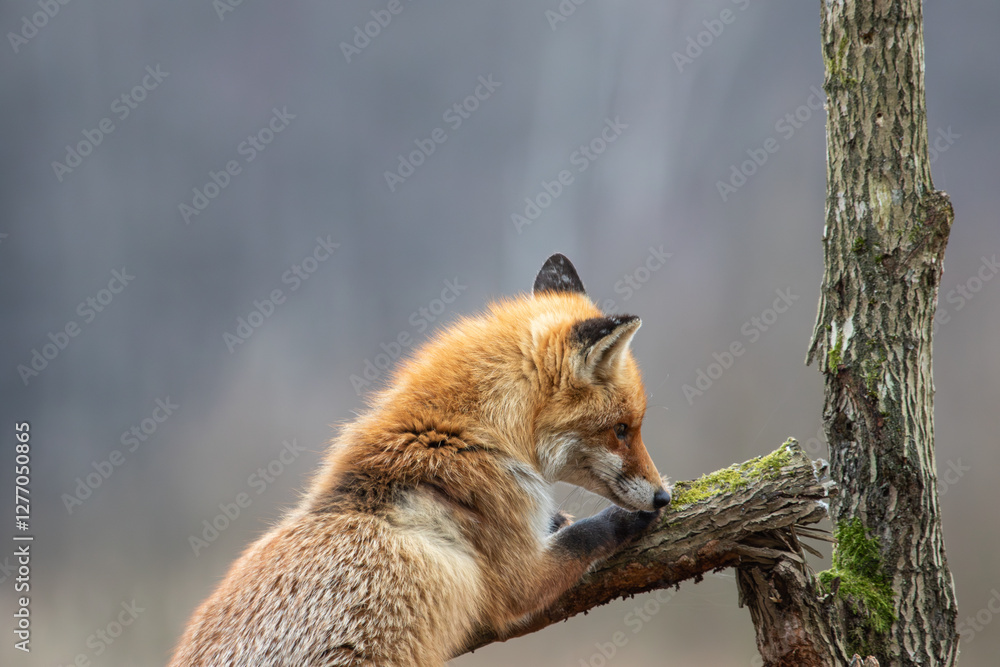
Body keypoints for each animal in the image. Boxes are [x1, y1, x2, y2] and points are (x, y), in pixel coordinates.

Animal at [170, 253, 671, 666]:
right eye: (622, 429)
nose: (664, 497)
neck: (465, 437)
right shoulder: (518, 580)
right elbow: (585, 537)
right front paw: (624, 521)